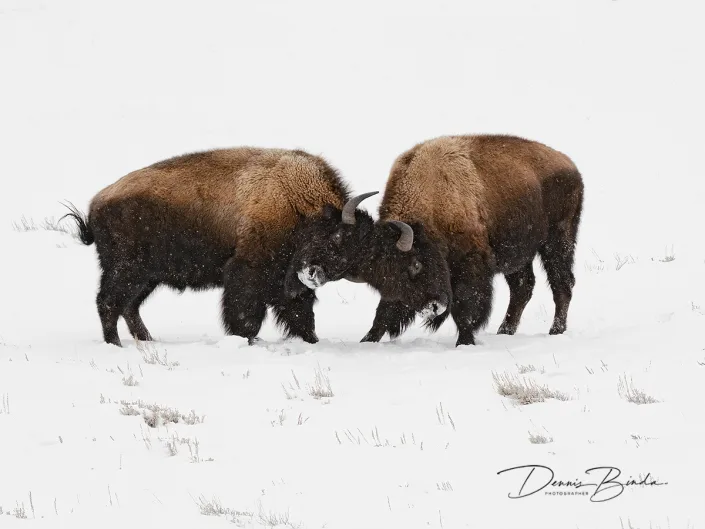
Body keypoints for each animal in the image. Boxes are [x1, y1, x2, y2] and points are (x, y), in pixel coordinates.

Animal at [63, 147, 377, 347]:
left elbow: (301, 313)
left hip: (147, 277)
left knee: (129, 306)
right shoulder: (247, 272)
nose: (312, 275)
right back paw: (115, 345)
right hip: (127, 270)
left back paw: (147, 340)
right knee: (109, 302)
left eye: (352, 255)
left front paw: (312, 340)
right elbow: (247, 315)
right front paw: (246, 340)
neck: (298, 205)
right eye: (336, 237)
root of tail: (98, 203)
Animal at [296, 134, 584, 346]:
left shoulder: (470, 270)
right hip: (519, 255)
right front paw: (368, 340)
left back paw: (555, 331)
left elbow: (464, 309)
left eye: (416, 265)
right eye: (385, 276)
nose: (434, 307)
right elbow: (383, 312)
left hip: (557, 241)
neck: (433, 205)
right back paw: (505, 331)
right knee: (523, 287)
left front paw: (465, 342)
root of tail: (570, 165)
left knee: (561, 283)